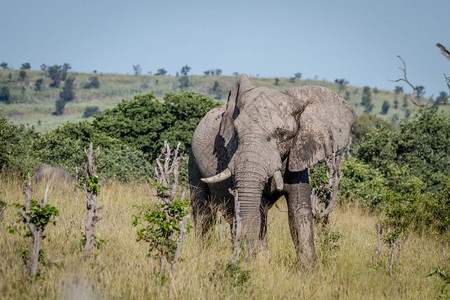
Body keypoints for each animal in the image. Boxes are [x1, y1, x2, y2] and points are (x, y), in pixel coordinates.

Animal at [187, 74, 356, 264]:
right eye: (236, 132)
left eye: (283, 134)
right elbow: (258, 207)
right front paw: (260, 262)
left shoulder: (297, 153)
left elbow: (299, 207)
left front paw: (308, 267)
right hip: (193, 162)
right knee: (203, 212)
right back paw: (204, 253)